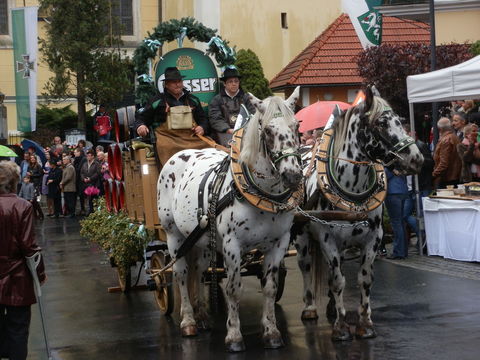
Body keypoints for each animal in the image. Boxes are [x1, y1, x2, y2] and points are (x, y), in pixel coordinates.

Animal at [160, 87, 304, 352]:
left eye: (297, 126)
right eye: (268, 130)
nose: (292, 176)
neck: (260, 194)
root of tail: (179, 154)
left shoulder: (278, 244)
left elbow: (270, 288)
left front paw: (271, 332)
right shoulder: (232, 245)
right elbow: (233, 290)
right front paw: (234, 336)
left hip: (202, 241)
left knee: (199, 270)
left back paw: (203, 316)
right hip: (174, 236)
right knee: (181, 274)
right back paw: (188, 321)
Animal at [292, 86, 424, 342]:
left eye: (400, 120)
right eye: (381, 123)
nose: (417, 158)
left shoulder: (373, 238)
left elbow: (363, 279)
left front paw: (365, 324)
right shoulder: (327, 239)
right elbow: (337, 280)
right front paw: (341, 328)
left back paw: (331, 307)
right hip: (302, 236)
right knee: (306, 267)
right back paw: (310, 308)